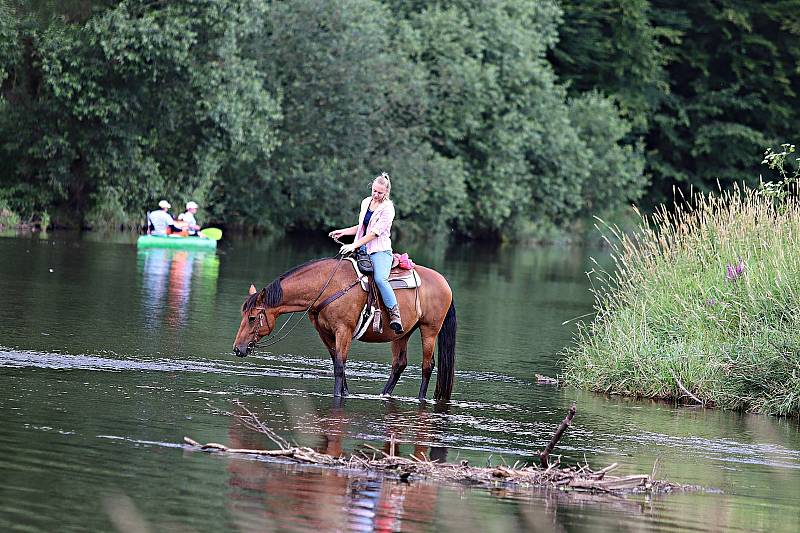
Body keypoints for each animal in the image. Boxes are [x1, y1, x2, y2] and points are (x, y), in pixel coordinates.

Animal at [231, 256, 456, 402]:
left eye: (252, 318)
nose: (237, 349)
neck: (326, 286)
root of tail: (443, 282)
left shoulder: (343, 330)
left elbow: (340, 365)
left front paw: (338, 394)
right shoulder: (325, 333)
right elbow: (337, 363)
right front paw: (345, 393)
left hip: (429, 329)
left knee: (427, 365)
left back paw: (420, 398)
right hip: (402, 333)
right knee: (399, 364)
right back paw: (384, 394)